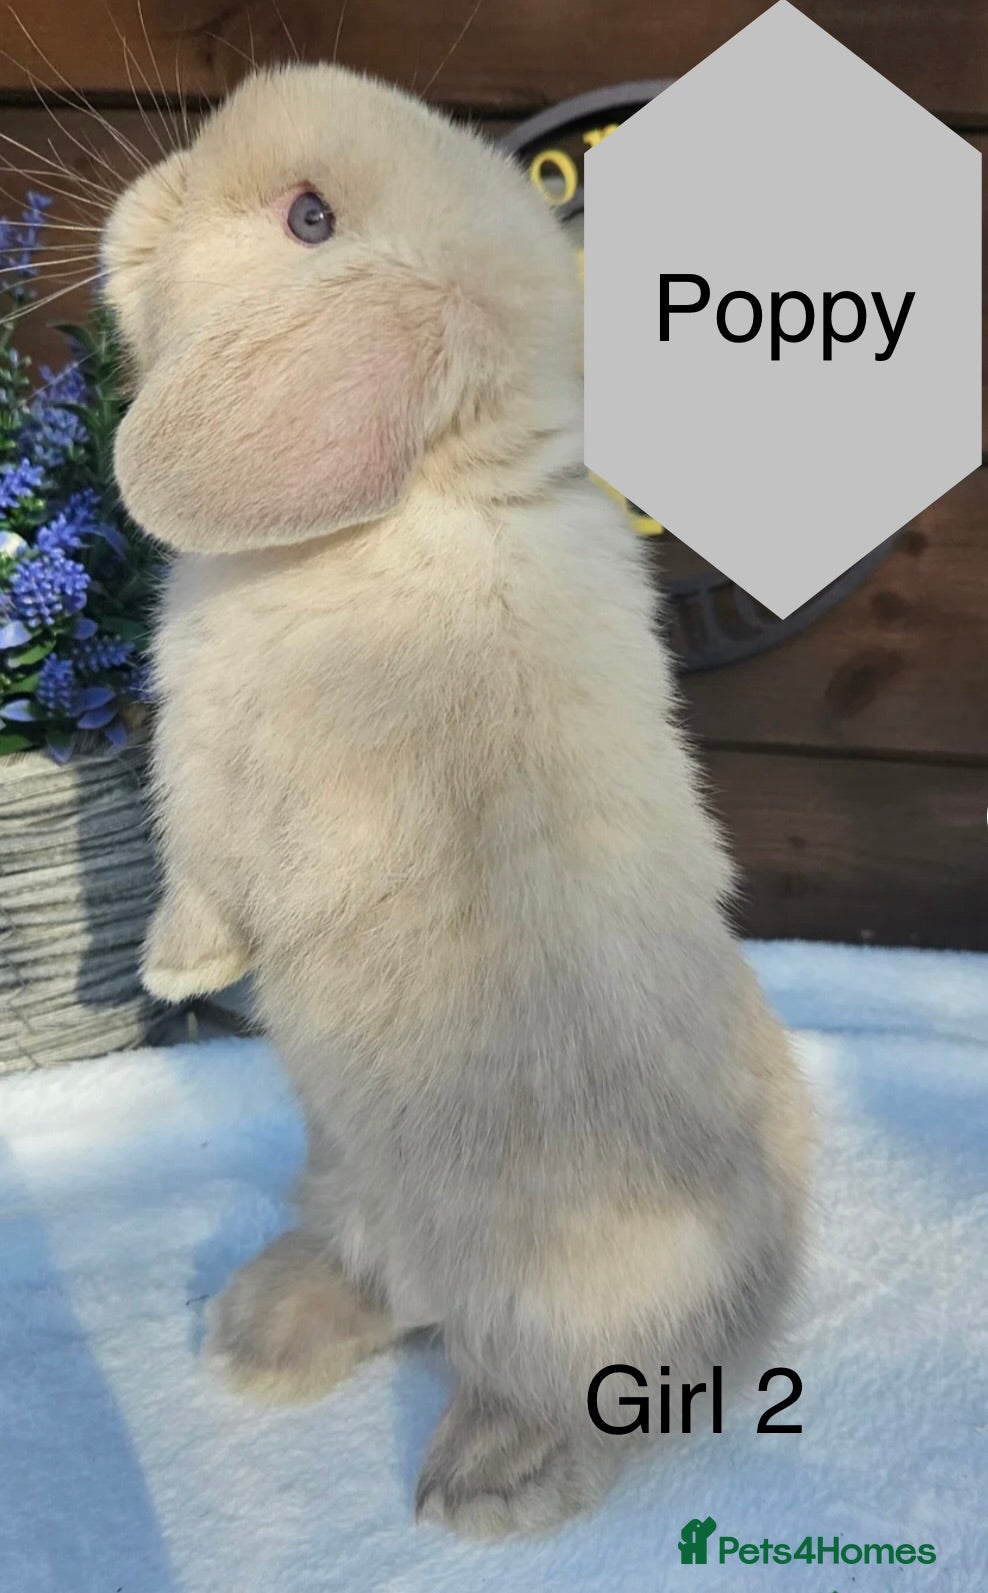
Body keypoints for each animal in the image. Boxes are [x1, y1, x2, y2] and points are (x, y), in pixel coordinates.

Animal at [102, 63, 814, 1539]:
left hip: (567, 1311)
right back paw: (261, 1332)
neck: (419, 500)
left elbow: (201, 879)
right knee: (385, 1296)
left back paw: (487, 1482)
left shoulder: (217, 775)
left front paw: (177, 969)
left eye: (311, 218)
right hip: (343, 1178)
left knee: (549, 1390)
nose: (144, 196)